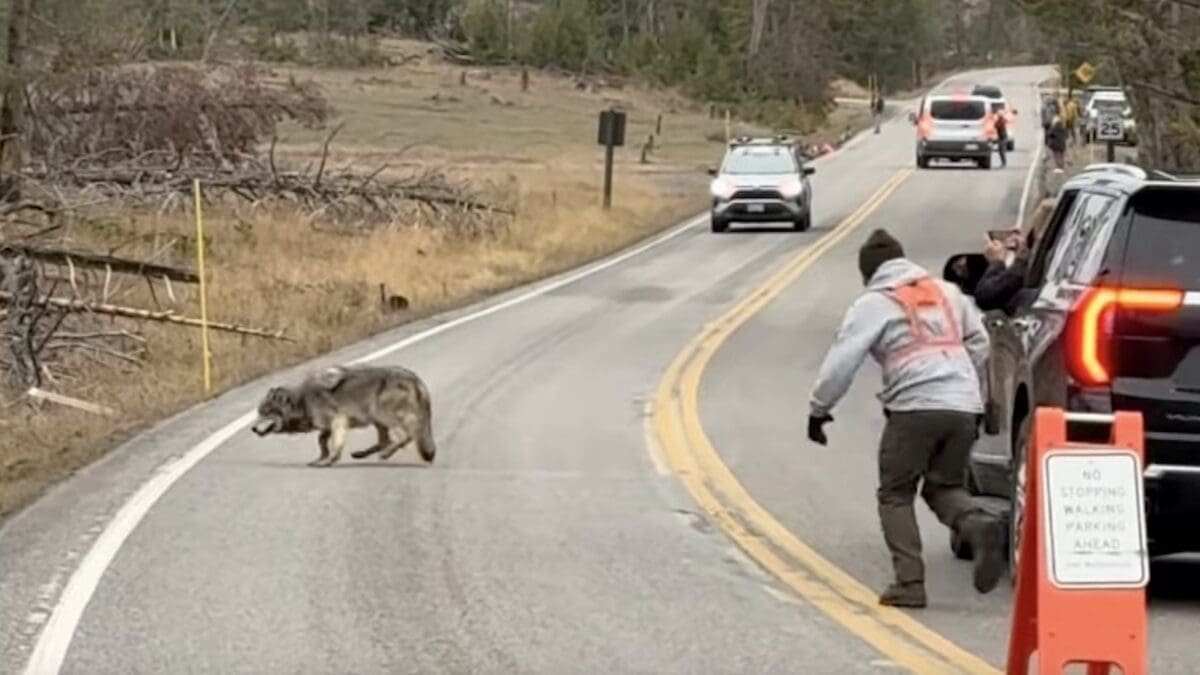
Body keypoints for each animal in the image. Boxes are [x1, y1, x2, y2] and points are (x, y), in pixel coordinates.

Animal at [251, 364, 436, 467]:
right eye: (258, 413)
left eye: (265, 413)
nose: (252, 428)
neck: (302, 400)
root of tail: (416, 379)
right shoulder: (327, 427)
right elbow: (321, 441)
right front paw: (320, 459)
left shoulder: (338, 420)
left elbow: (334, 445)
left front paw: (329, 461)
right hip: (378, 420)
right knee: (387, 441)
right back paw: (361, 454)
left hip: (381, 414)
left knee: (408, 435)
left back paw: (384, 455)